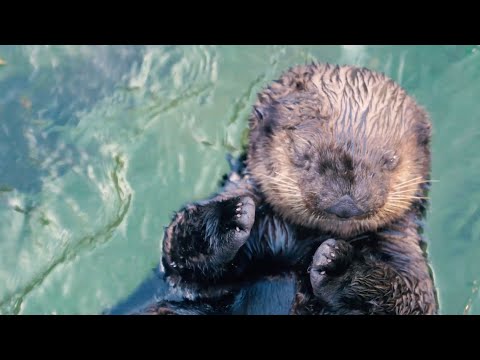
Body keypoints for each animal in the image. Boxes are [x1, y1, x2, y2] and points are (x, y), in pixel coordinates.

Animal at [129, 62, 436, 316]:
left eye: (390, 160)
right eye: (302, 154)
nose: (346, 205)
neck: (301, 241)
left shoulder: (404, 248)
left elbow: (412, 298)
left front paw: (337, 265)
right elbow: (177, 258)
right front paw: (231, 216)